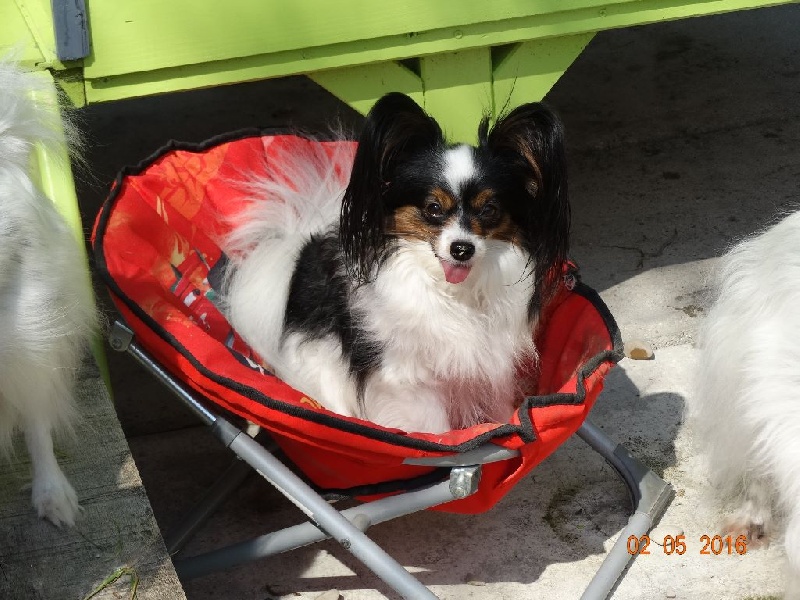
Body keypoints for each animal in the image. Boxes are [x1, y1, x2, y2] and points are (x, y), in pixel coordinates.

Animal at [221, 92, 569, 434]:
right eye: (433, 208)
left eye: (489, 210)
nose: (462, 249)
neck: (452, 291)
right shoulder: (409, 381)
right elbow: (434, 429)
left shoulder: (487, 370)